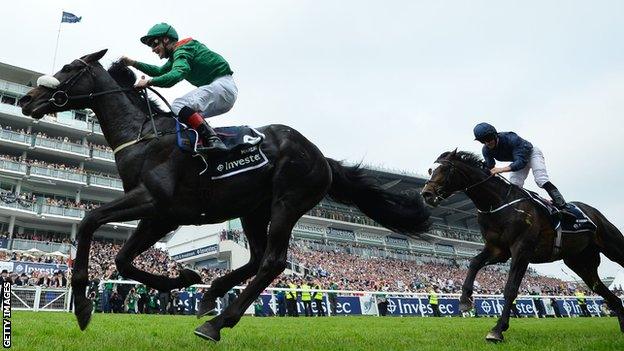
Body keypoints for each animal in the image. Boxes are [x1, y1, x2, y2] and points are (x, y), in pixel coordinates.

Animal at [17, 51, 432, 342]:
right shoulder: (161, 215)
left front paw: (83, 307)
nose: (26, 99)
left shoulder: (153, 203)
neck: (144, 136)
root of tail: (321, 156)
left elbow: (89, 221)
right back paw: (211, 294)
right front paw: (184, 277)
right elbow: (121, 260)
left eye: (69, 67)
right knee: (258, 258)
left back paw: (218, 322)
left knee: (273, 262)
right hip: (253, 210)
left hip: (287, 201)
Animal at [420, 150, 624, 342]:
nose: (426, 194)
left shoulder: (521, 249)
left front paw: (497, 330)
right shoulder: (498, 250)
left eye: (444, 169)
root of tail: (593, 212)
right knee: (609, 296)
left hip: (612, 246)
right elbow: (474, 263)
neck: (498, 204)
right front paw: (464, 300)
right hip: (580, 263)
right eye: (430, 170)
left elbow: (510, 289)